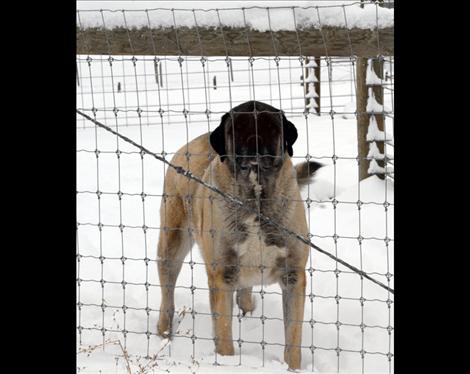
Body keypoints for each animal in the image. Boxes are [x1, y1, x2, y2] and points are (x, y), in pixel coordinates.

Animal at [156, 101, 322, 370]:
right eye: (240, 127)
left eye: (269, 126)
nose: (254, 143)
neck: (255, 196)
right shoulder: (221, 275)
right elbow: (224, 332)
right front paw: (226, 361)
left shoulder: (293, 275)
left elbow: (293, 337)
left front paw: (292, 368)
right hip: (172, 243)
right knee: (167, 295)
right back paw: (163, 333)